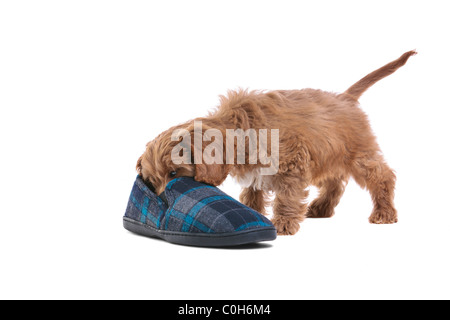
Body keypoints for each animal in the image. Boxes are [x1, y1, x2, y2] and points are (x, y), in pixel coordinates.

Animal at [136, 50, 414, 235]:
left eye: (175, 173)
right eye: (151, 182)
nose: (162, 210)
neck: (238, 126)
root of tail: (345, 97)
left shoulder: (292, 162)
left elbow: (287, 196)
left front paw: (283, 224)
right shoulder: (258, 172)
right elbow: (252, 193)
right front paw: (255, 212)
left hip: (359, 154)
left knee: (382, 176)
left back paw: (384, 213)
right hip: (328, 155)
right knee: (335, 181)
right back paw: (322, 207)